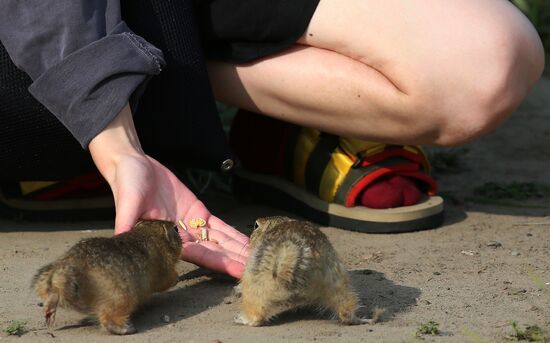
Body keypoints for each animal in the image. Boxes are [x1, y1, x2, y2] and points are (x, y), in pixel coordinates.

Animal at [31, 220, 183, 336]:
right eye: (175, 228)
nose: (181, 235)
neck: (148, 234)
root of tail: (71, 263)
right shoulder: (163, 264)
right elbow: (166, 279)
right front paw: (176, 277)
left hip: (47, 278)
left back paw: (49, 311)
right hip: (120, 295)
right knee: (108, 316)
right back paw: (126, 329)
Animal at [235, 216, 374, 326]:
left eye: (256, 225)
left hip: (256, 279)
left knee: (257, 314)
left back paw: (242, 319)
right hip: (337, 280)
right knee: (345, 311)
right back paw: (363, 319)